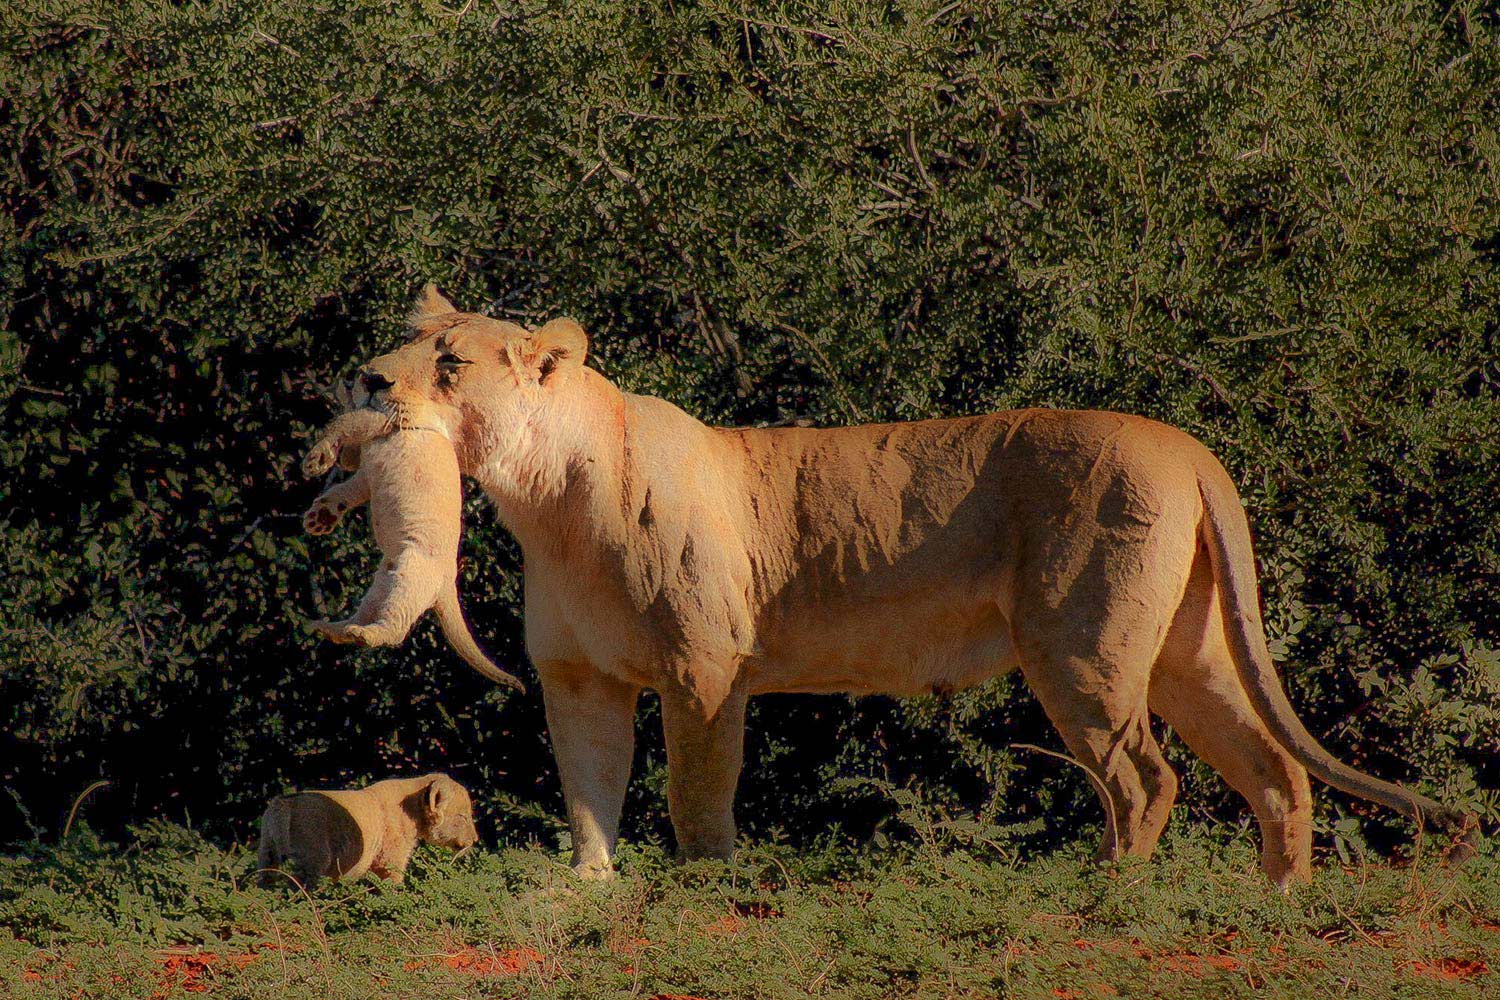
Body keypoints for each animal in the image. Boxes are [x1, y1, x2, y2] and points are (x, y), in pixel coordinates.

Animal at [256, 773, 478, 888]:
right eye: (463, 816)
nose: (475, 840)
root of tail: (282, 803)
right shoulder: (390, 861)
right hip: (314, 860)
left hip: (267, 855)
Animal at [300, 409, 525, 693]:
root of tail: (448, 584)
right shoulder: (369, 468)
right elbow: (348, 487)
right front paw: (319, 518)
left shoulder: (386, 421)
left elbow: (349, 422)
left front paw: (316, 459)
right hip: (386, 578)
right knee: (369, 611)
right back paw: (331, 629)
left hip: (412, 570)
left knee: (396, 628)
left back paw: (362, 634)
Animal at [326, 283, 1474, 887]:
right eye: (402, 344)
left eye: (452, 360)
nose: (368, 380)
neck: (549, 507)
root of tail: (1193, 450)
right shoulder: (579, 680)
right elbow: (588, 794)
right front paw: (590, 893)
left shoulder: (707, 668)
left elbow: (696, 794)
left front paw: (706, 892)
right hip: (1184, 651)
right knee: (1274, 770)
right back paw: (1276, 902)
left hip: (1083, 647)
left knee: (1146, 778)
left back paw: (1108, 897)